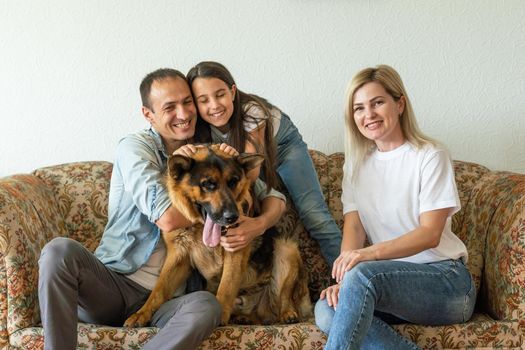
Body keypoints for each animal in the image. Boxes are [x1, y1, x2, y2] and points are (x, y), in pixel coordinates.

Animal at [124, 144, 310, 326]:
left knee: (283, 298)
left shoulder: (235, 252)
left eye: (233, 182)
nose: (232, 217)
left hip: (286, 249)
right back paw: (245, 318)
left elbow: (226, 286)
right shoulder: (178, 257)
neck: (199, 227)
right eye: (208, 184)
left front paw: (219, 315)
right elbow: (159, 289)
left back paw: (288, 313)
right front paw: (141, 313)